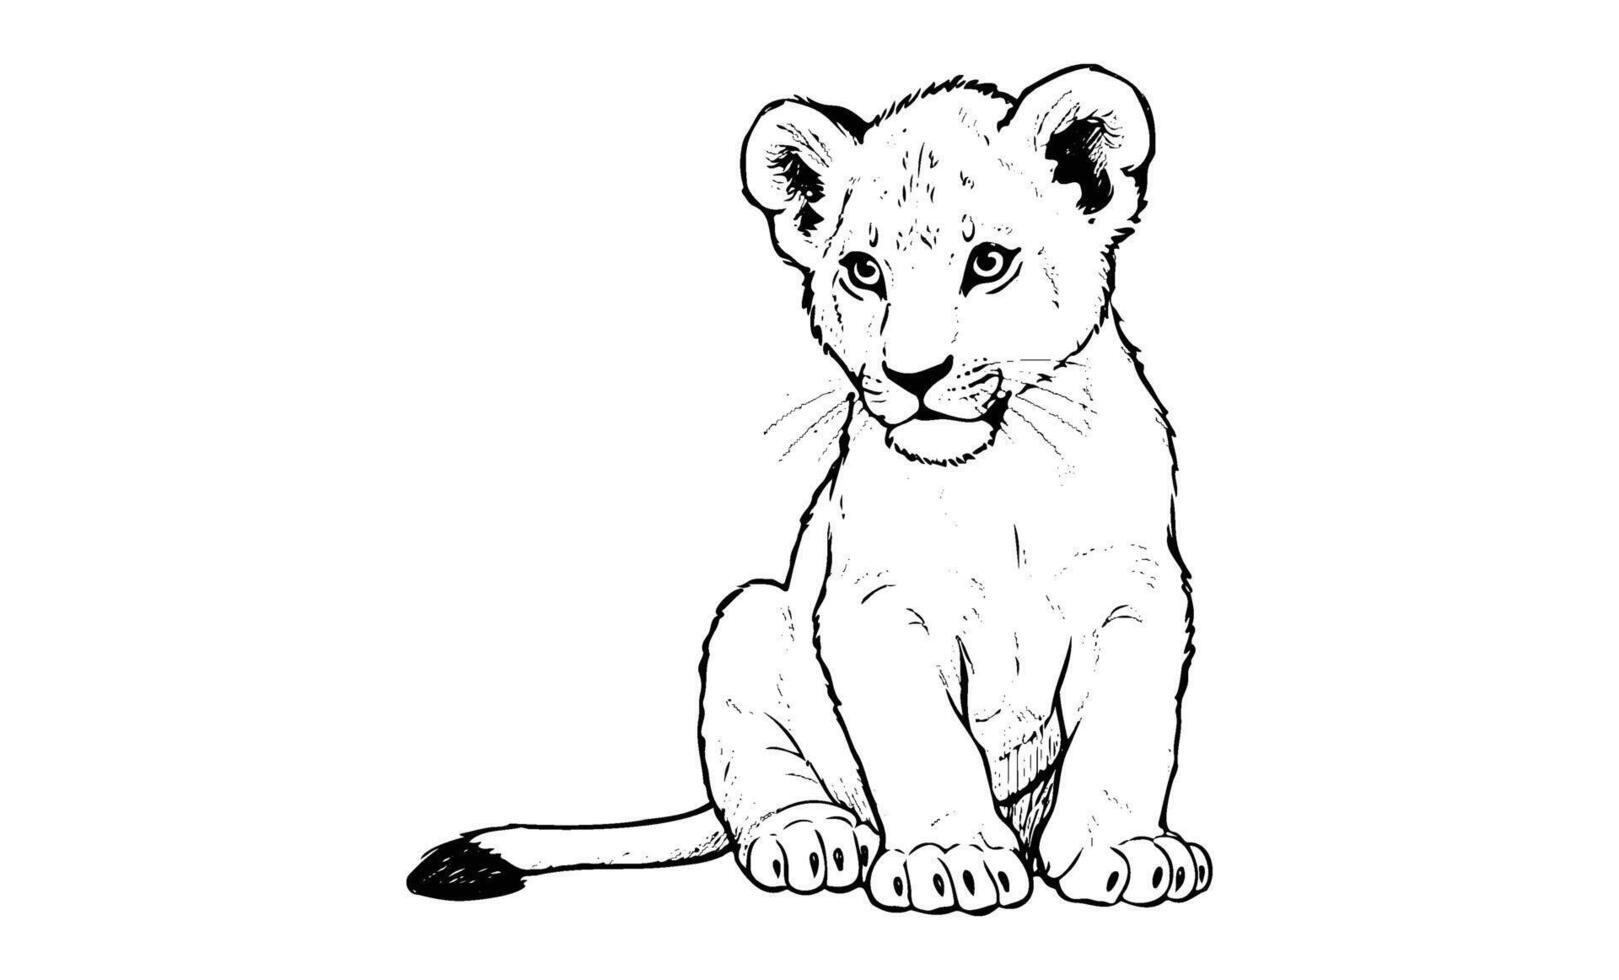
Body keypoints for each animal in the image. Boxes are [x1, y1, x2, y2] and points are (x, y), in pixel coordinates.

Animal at [408, 64, 1210, 913]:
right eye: (863, 271)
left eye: (988, 262)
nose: (911, 376)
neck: (996, 476)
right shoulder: (877, 605)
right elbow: (923, 741)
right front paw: (949, 856)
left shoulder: (1136, 592)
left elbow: (1125, 734)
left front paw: (1120, 849)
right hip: (751, 617)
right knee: (758, 779)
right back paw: (811, 837)